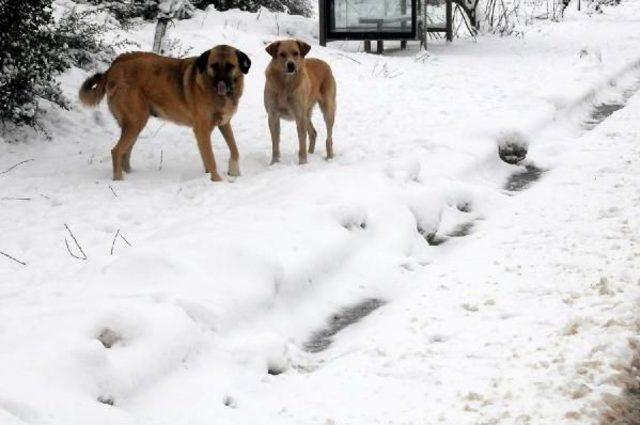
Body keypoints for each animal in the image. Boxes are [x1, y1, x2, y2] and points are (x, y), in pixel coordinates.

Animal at [79, 44, 251, 181]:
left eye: (230, 66)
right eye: (214, 65)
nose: (222, 84)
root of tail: (113, 67)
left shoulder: (224, 123)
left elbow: (234, 149)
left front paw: (233, 170)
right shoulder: (201, 130)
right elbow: (210, 158)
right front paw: (217, 181)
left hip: (135, 124)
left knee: (125, 152)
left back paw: (130, 174)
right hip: (135, 122)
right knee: (116, 151)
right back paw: (119, 180)